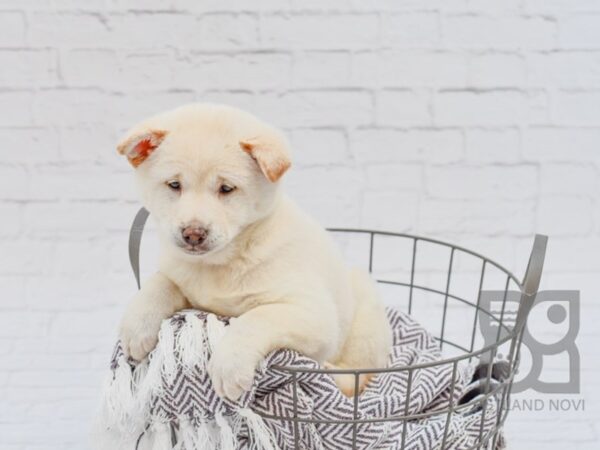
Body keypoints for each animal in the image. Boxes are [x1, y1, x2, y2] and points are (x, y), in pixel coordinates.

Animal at [117, 103, 392, 400]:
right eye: (174, 185)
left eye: (226, 188)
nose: (193, 234)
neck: (220, 264)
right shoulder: (184, 282)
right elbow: (160, 283)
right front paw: (136, 326)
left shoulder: (314, 314)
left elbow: (255, 318)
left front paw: (228, 366)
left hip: (363, 319)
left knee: (357, 377)